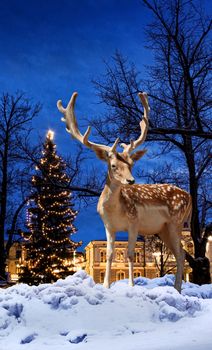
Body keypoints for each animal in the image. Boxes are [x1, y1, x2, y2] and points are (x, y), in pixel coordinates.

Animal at [56, 91, 192, 292]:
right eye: (113, 165)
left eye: (131, 164)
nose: (131, 181)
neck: (116, 211)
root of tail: (189, 196)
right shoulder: (108, 226)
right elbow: (110, 253)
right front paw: (106, 286)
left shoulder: (134, 223)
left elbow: (129, 253)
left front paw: (131, 285)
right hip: (163, 229)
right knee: (179, 253)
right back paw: (176, 288)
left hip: (176, 221)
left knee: (181, 254)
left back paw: (177, 289)